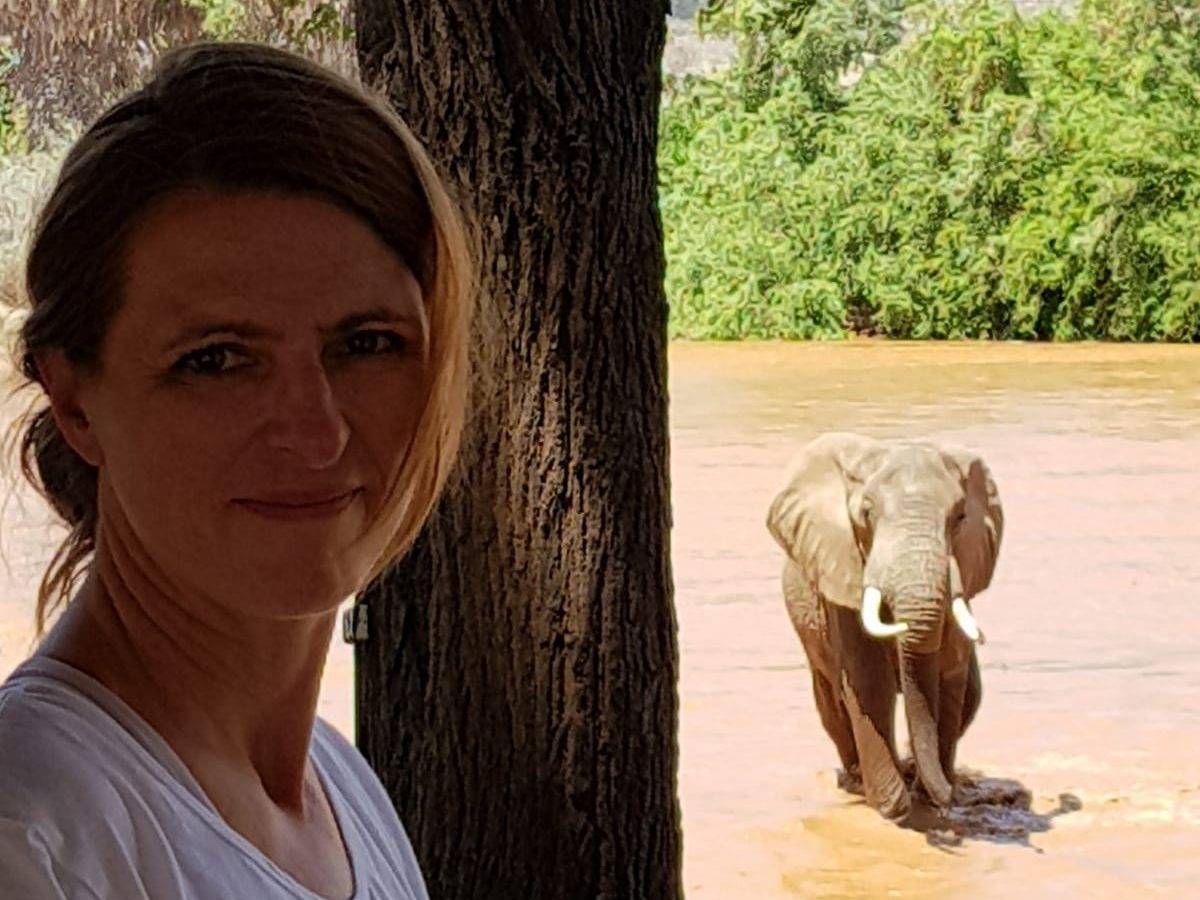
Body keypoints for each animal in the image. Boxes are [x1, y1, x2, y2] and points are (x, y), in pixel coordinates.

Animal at [768, 434, 1003, 830]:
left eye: (959, 517)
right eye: (866, 514)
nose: (948, 799)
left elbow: (947, 676)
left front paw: (926, 797)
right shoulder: (842, 574)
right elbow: (868, 680)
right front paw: (893, 808)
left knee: (971, 694)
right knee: (831, 703)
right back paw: (857, 779)